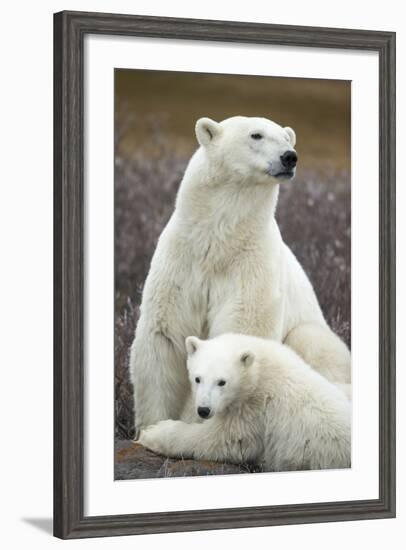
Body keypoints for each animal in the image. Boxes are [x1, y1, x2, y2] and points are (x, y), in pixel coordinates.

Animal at [129, 115, 348, 436]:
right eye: (256, 135)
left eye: (287, 138)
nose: (290, 157)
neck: (218, 240)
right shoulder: (182, 261)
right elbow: (165, 336)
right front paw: (151, 427)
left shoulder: (250, 265)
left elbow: (241, 328)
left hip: (314, 336)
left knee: (312, 344)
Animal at [139, 334, 348, 472]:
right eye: (197, 378)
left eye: (222, 382)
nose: (203, 410)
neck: (259, 368)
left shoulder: (255, 407)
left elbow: (223, 439)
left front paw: (152, 433)